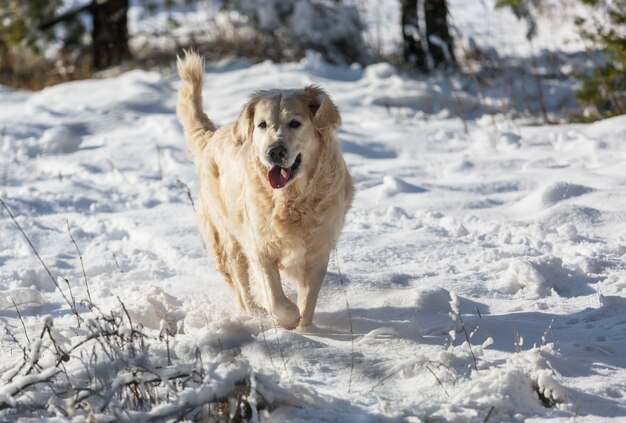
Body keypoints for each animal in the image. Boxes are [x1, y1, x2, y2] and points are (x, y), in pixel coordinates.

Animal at [177, 53, 352, 330]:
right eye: (262, 125)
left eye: (295, 123)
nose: (274, 152)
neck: (291, 199)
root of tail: (214, 134)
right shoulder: (259, 246)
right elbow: (274, 297)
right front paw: (288, 318)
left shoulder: (319, 249)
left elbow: (309, 298)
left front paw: (305, 327)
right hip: (226, 238)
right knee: (240, 284)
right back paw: (253, 311)